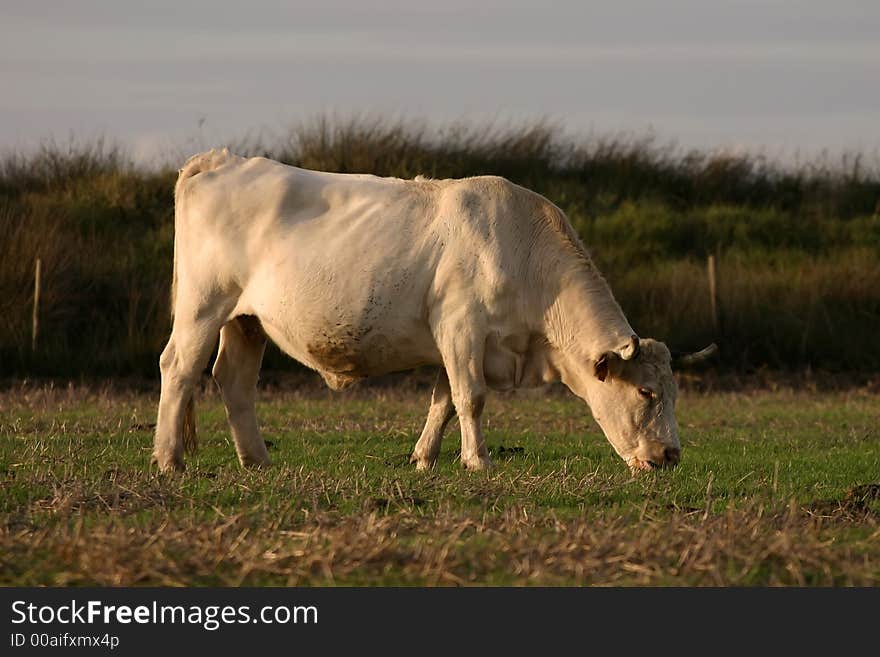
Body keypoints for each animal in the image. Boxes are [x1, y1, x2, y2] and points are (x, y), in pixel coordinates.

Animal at [153, 149, 708, 474]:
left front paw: (424, 458)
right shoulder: (461, 326)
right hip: (203, 305)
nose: (670, 456)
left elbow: (443, 401)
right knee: (179, 368)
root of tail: (221, 159)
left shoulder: (458, 342)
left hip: (246, 321)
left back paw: (257, 461)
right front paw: (478, 462)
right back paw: (168, 459)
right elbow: (471, 398)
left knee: (234, 380)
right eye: (646, 391)